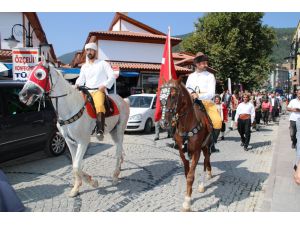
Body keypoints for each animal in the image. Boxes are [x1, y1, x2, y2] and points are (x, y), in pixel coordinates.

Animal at [18, 61, 129, 197]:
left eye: (39, 74)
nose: (22, 95)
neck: (70, 108)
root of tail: (123, 100)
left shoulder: (83, 142)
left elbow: (76, 166)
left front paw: (93, 183)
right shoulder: (69, 141)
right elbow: (76, 165)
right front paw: (77, 187)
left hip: (119, 131)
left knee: (118, 152)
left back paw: (115, 176)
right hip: (113, 132)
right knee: (120, 150)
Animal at [159, 77, 213, 211]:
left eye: (173, 96)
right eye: (160, 96)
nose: (163, 123)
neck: (187, 124)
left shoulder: (196, 151)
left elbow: (190, 176)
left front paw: (187, 202)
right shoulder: (182, 152)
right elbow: (186, 173)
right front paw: (189, 194)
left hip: (205, 146)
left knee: (206, 161)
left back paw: (203, 184)